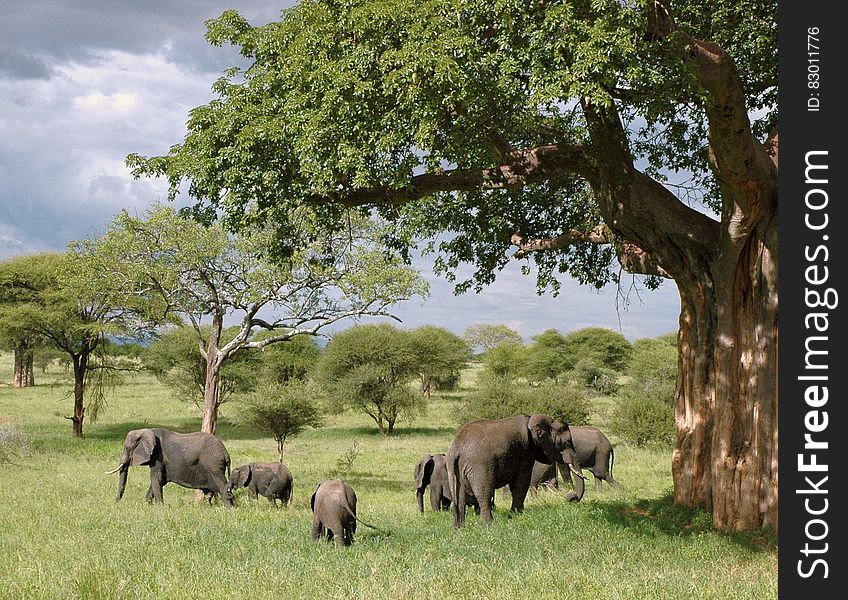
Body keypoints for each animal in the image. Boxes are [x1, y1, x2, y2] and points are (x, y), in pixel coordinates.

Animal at [106, 426, 234, 506]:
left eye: (127, 448)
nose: (116, 502)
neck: (146, 431)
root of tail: (225, 453)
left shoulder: (158, 456)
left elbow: (156, 478)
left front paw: (159, 506)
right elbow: (159, 480)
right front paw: (148, 504)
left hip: (214, 465)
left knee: (222, 484)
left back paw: (229, 508)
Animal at [444, 412, 584, 524]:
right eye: (566, 443)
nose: (571, 497)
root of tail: (456, 448)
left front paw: (514, 515)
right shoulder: (526, 450)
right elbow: (521, 482)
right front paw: (516, 516)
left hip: (455, 469)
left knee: (460, 498)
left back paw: (460, 528)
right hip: (480, 466)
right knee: (484, 494)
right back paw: (490, 525)